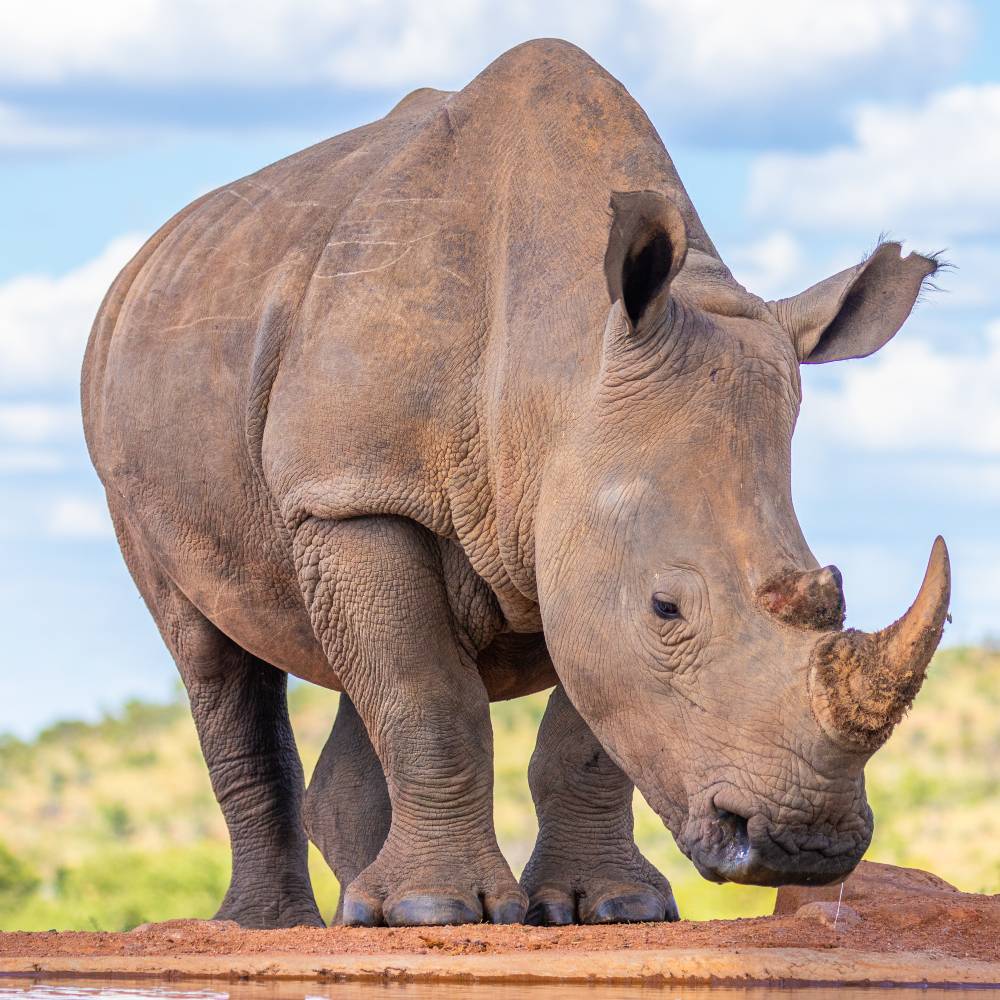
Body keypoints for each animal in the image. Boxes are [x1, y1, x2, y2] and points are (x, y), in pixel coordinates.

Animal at [82, 39, 950, 929]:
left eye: (833, 594)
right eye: (666, 608)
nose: (803, 844)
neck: (556, 371)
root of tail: (144, 263)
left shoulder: (579, 528)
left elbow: (582, 724)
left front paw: (610, 907)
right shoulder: (354, 489)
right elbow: (430, 701)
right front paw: (437, 910)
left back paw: (364, 908)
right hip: (132, 420)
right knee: (212, 652)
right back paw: (280, 923)